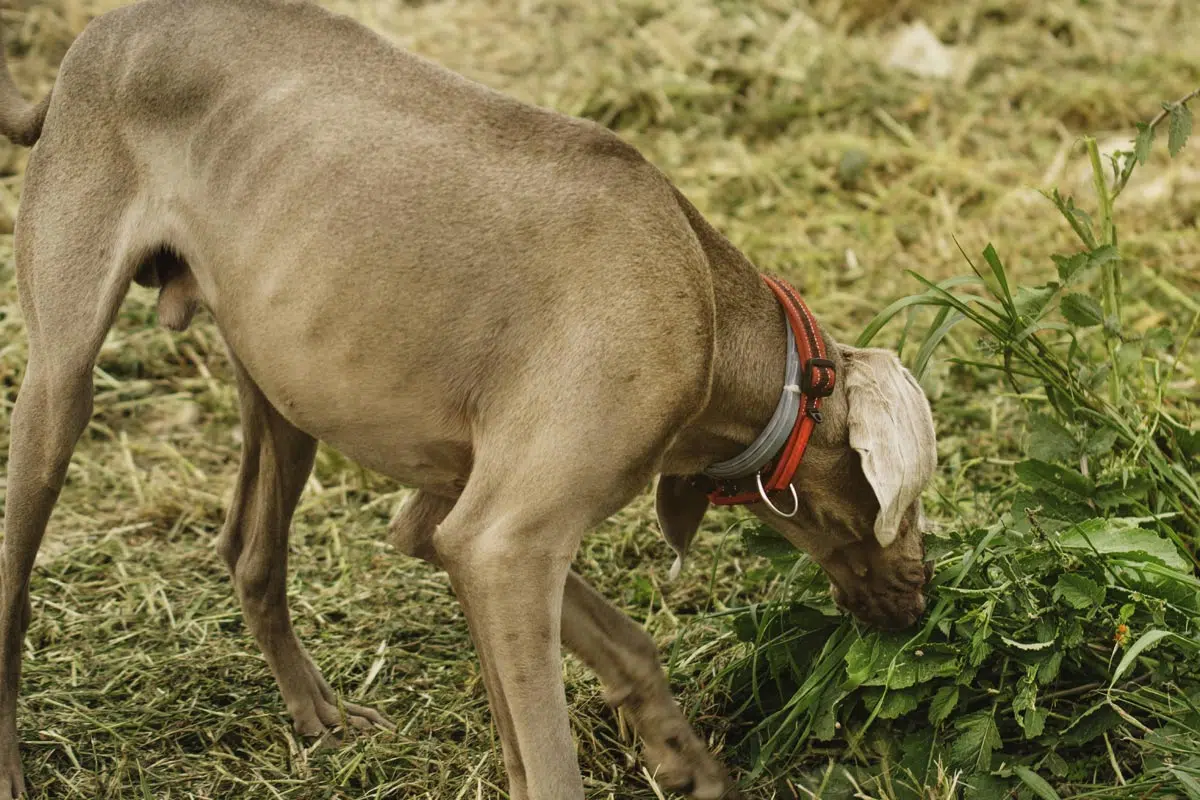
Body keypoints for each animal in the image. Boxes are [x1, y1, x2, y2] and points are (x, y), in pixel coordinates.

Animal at [0, 1, 936, 800]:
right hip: (60, 385)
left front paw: (686, 760)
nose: (922, 602)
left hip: (279, 377)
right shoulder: (506, 546)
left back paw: (317, 713)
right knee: (19, 568)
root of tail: (89, 42)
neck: (711, 312)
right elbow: (551, 763)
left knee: (250, 552)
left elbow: (620, 649)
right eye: (911, 500)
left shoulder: (455, 527)